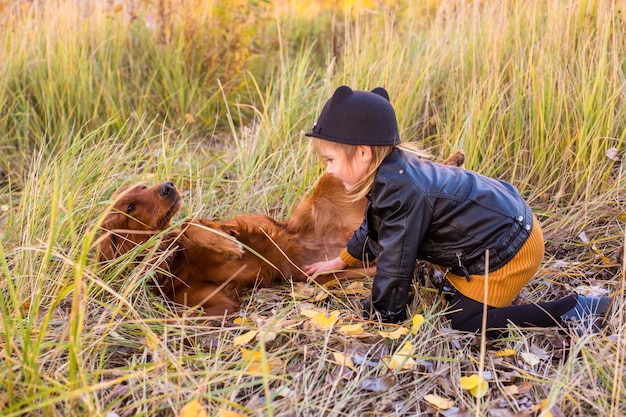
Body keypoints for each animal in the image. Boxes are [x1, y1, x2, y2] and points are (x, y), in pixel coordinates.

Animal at [97, 150, 464, 316]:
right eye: (130, 206)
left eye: (143, 187)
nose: (168, 186)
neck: (178, 265)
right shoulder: (214, 300)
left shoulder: (201, 229)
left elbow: (191, 225)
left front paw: (227, 243)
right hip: (335, 272)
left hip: (338, 179)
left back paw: (454, 160)